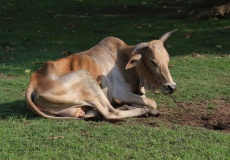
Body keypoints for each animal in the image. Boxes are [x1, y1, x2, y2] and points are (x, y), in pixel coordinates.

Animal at [25, 29, 177, 119]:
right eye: (153, 61)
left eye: (167, 59)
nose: (172, 87)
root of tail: (33, 82)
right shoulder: (119, 94)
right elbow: (152, 102)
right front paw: (145, 107)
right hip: (87, 79)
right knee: (111, 113)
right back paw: (143, 111)